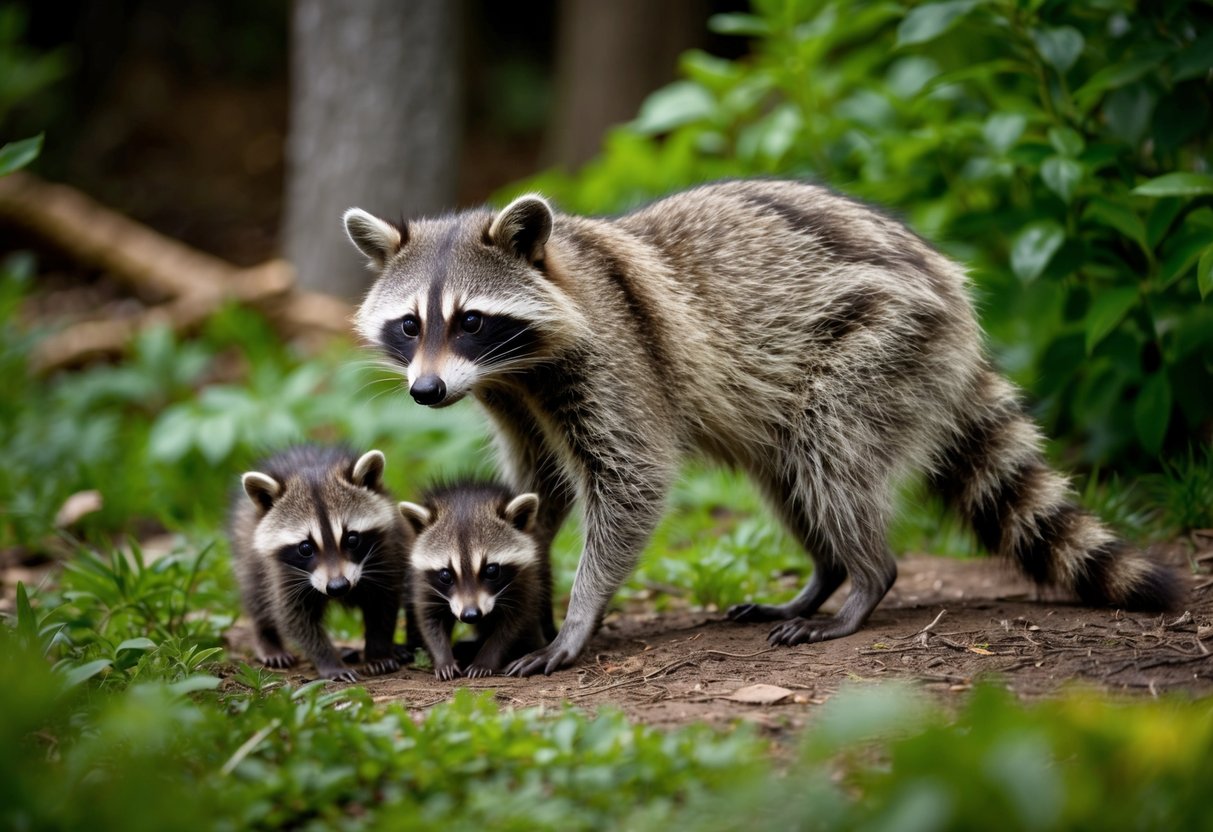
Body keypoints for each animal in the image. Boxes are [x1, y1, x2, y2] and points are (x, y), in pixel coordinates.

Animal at [229, 445, 418, 681]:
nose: (338, 586)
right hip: (247, 551)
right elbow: (295, 617)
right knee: (255, 594)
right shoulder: (281, 571)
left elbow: (383, 602)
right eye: (305, 548)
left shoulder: (387, 550)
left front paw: (378, 651)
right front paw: (328, 660)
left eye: (352, 539)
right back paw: (268, 641)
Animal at [398, 482, 549, 680]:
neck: (467, 501)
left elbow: (515, 622)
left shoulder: (526, 576)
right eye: (445, 575)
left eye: (491, 570)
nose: (471, 615)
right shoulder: (422, 580)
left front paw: (486, 659)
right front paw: (443, 658)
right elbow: (428, 619)